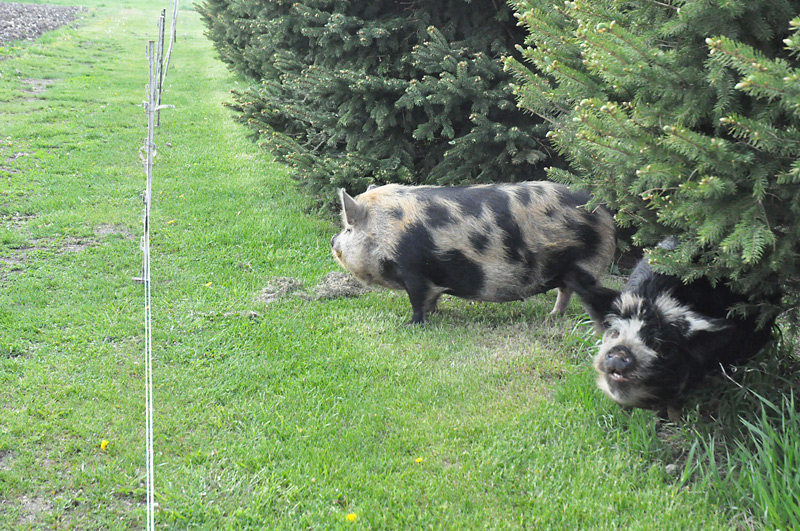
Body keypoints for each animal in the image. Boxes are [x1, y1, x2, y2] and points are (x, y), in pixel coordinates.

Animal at [330, 182, 616, 324]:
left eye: (348, 228)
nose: (332, 240)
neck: (386, 232)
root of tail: (605, 214)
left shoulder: (414, 271)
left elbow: (418, 301)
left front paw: (412, 324)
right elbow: (432, 299)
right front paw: (436, 313)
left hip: (585, 267)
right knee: (565, 291)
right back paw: (553, 316)